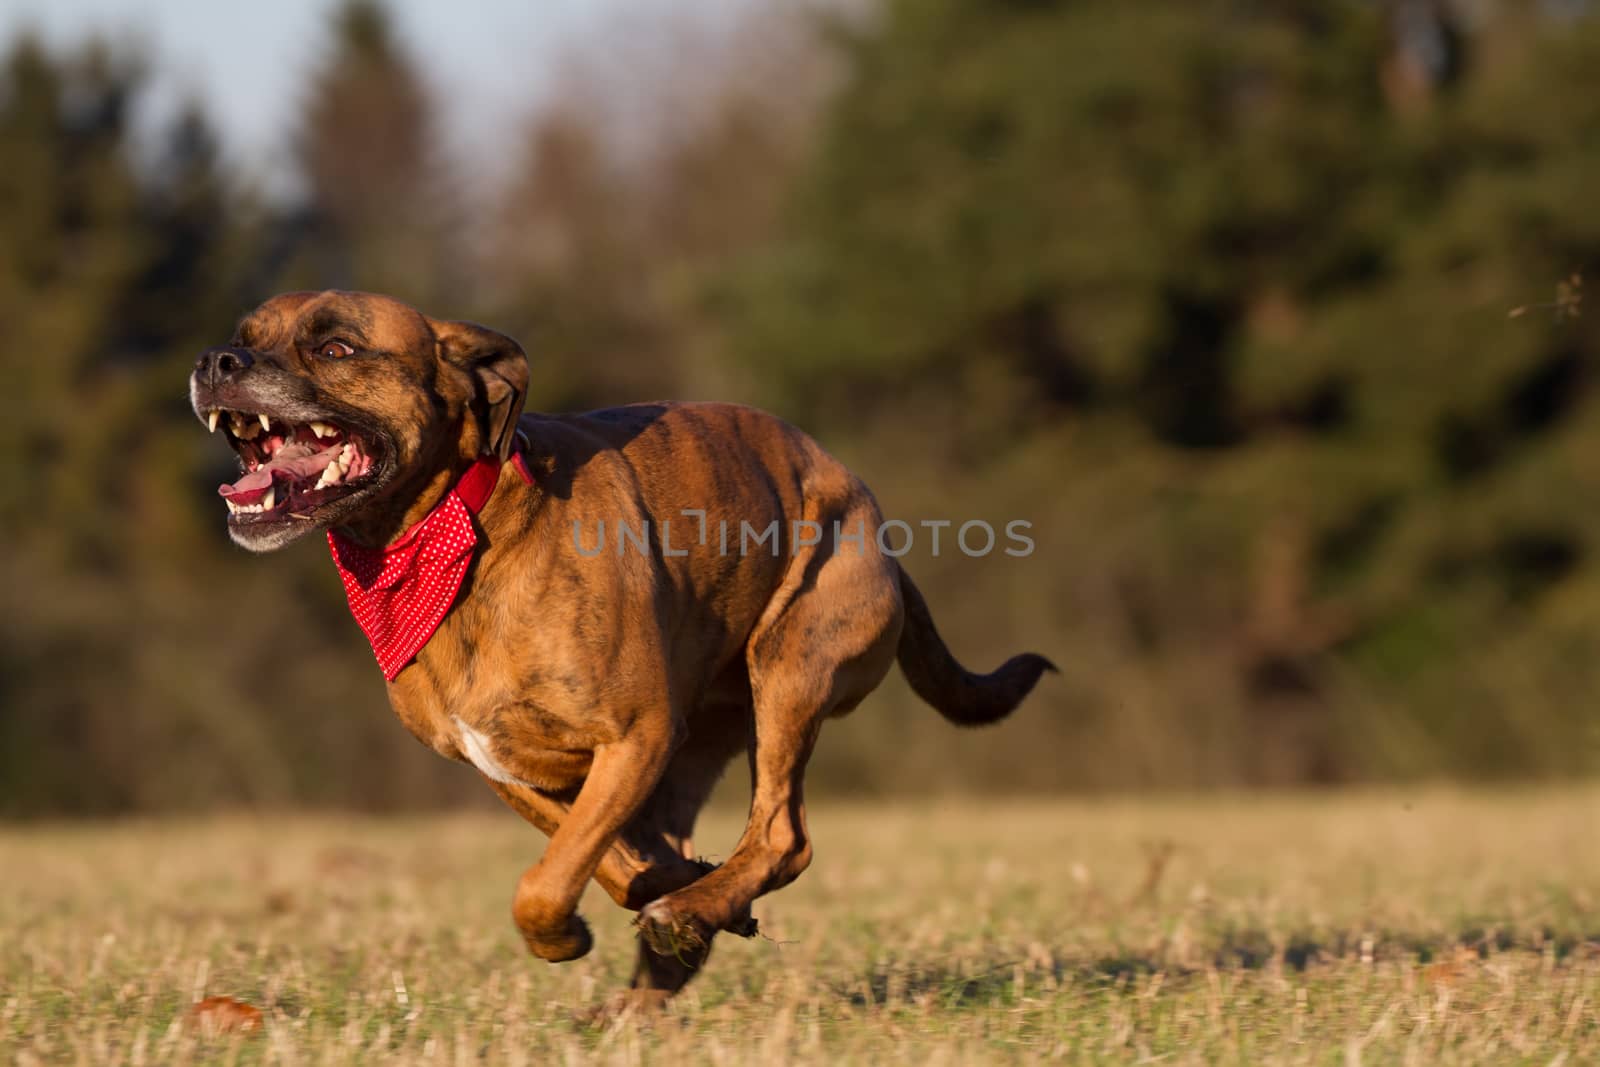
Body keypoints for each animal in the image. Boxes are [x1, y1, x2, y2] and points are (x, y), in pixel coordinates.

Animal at [187, 292, 1056, 1011]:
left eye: (335, 347)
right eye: (243, 337)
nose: (216, 361)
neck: (456, 532)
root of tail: (883, 537)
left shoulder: (633, 736)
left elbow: (546, 879)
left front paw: (572, 931)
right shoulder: (514, 767)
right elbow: (601, 858)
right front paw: (665, 898)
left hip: (790, 669)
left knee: (781, 835)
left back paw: (689, 914)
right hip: (701, 743)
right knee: (704, 851)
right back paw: (669, 953)